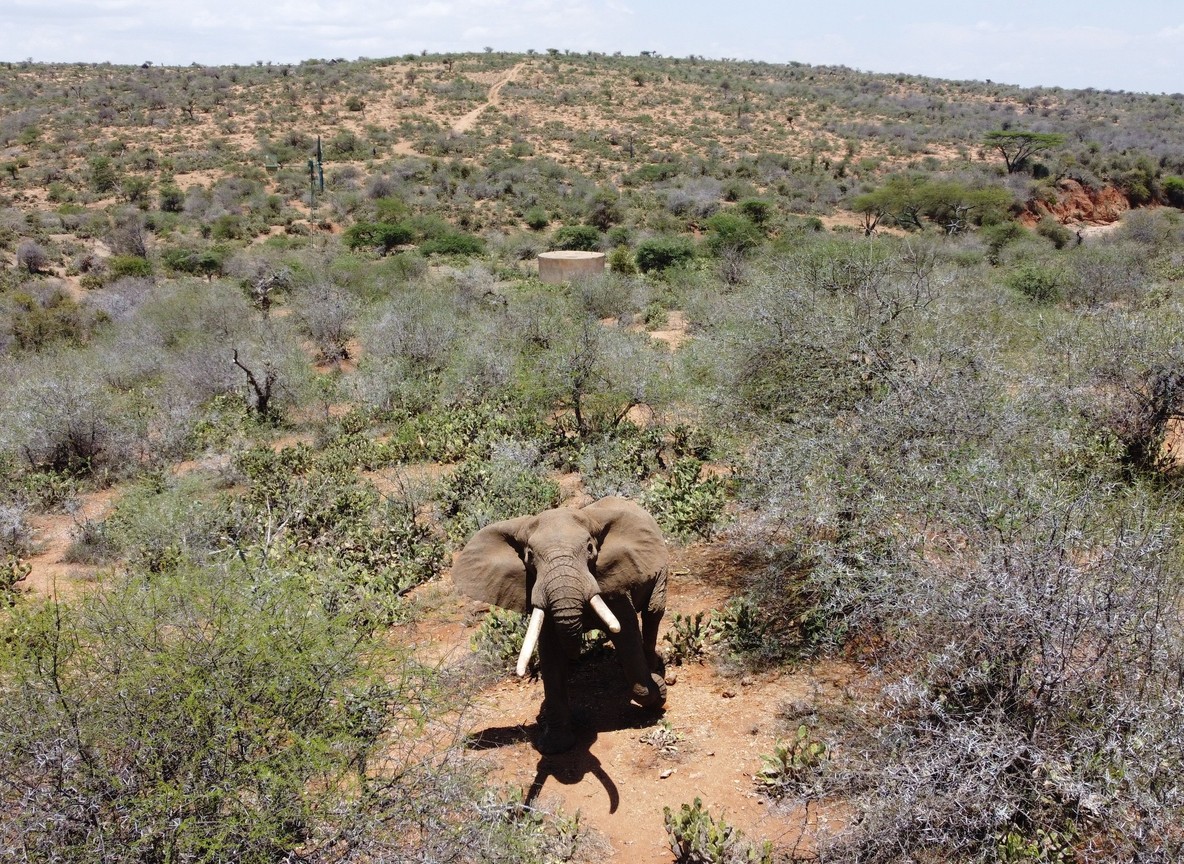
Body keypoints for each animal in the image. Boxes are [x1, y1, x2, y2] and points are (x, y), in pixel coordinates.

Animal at [453, 496, 668, 754]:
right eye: (529, 556)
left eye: (590, 549)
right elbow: (550, 653)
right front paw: (555, 745)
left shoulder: (613, 583)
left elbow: (626, 634)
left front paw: (657, 689)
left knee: (653, 612)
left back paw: (654, 666)